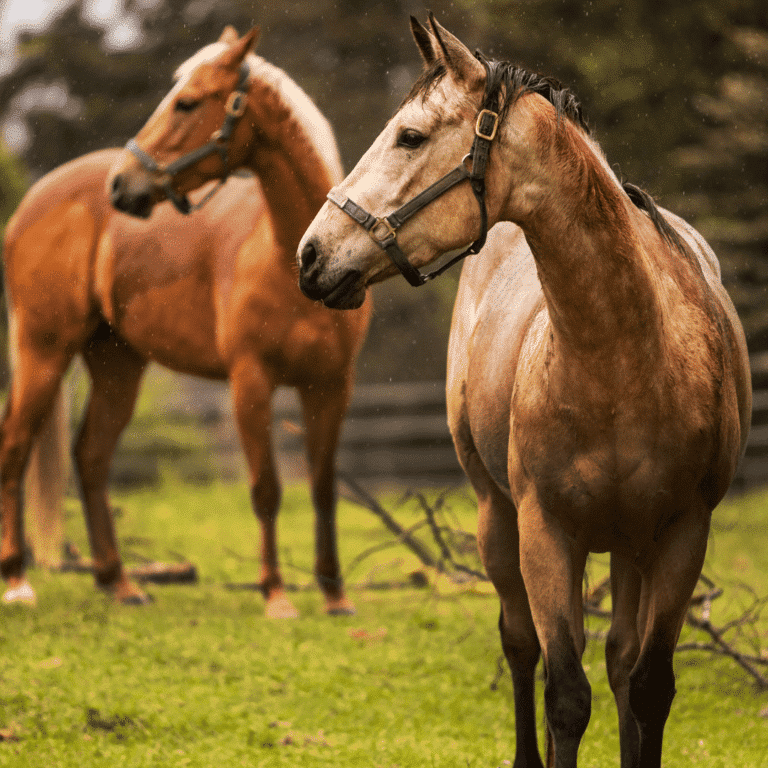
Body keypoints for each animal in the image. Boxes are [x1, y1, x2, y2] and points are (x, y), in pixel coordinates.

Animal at [1, 27, 370, 620]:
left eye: (187, 103)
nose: (121, 185)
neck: (291, 259)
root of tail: (33, 202)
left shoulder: (331, 387)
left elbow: (322, 487)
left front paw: (336, 597)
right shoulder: (250, 382)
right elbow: (266, 488)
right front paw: (275, 596)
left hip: (117, 365)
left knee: (91, 457)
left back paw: (119, 584)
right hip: (43, 349)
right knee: (16, 446)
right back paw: (16, 581)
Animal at [294, 15, 752, 768]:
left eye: (410, 136)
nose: (310, 255)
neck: (628, 360)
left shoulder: (685, 534)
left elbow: (647, 687)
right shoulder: (547, 532)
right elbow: (563, 692)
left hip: (631, 545)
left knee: (621, 662)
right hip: (496, 516)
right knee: (521, 645)